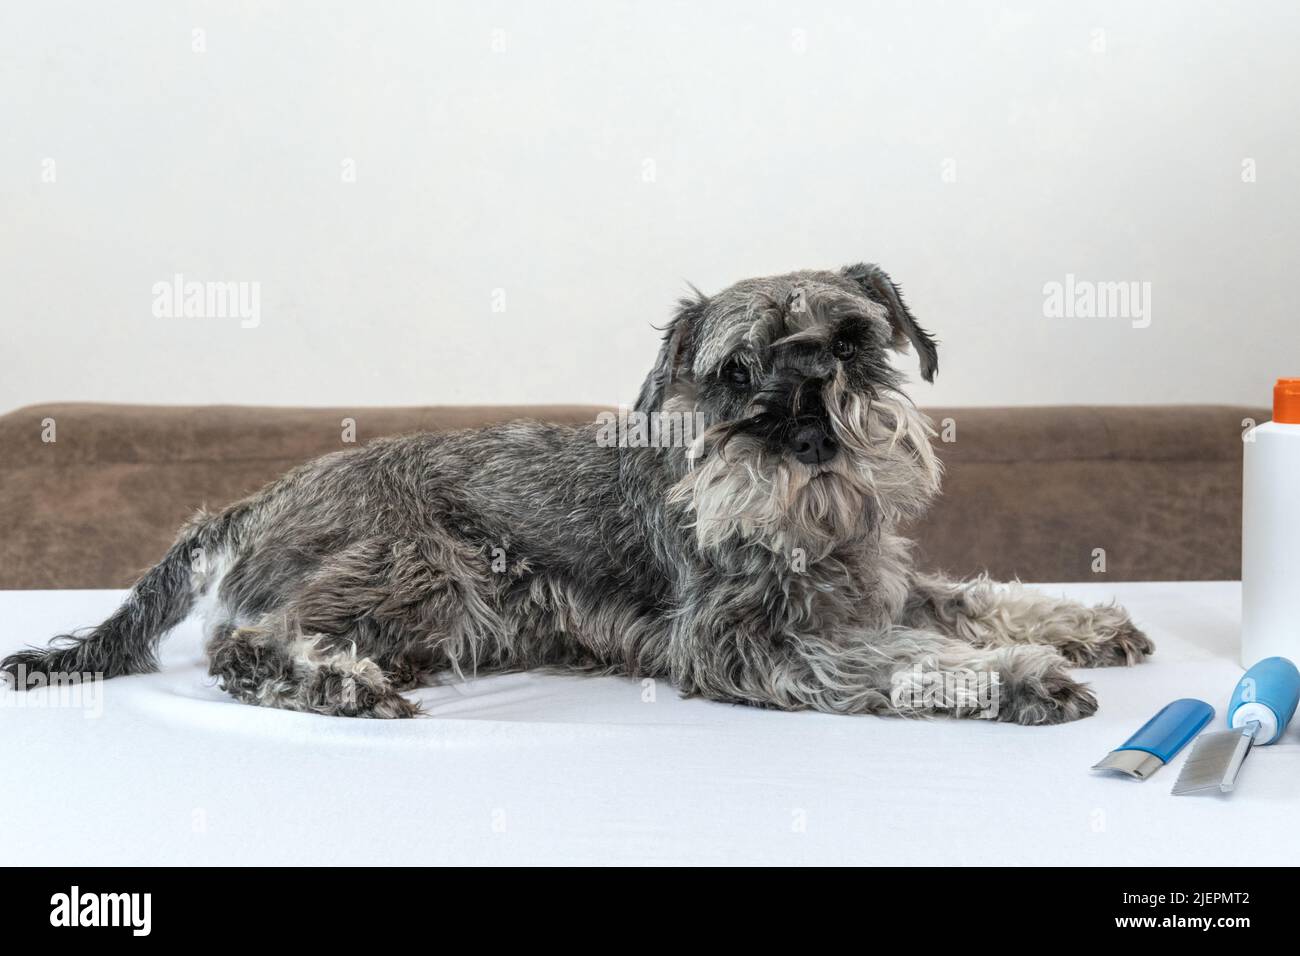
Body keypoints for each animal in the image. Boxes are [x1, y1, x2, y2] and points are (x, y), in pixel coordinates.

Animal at [2, 265, 1159, 723]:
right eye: (736, 369)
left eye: (849, 342)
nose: (805, 433)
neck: (810, 535)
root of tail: (249, 502)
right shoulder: (749, 642)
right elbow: (900, 658)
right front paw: (1019, 678)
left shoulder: (873, 585)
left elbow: (970, 599)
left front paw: (1084, 625)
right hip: (423, 568)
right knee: (243, 645)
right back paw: (341, 685)